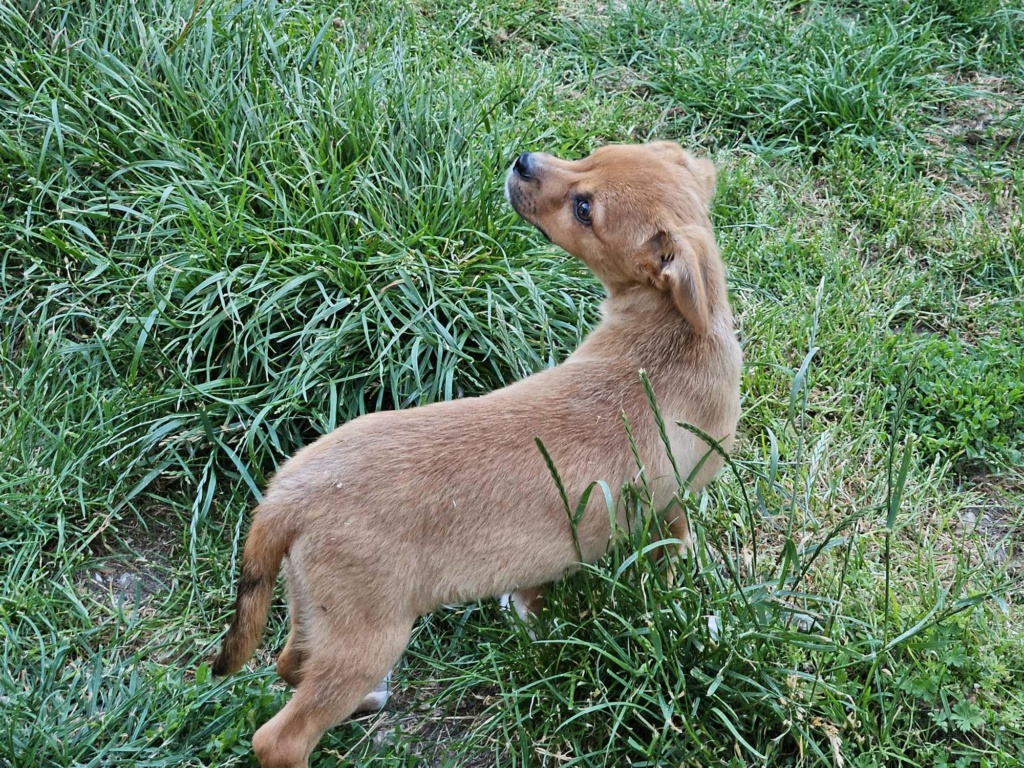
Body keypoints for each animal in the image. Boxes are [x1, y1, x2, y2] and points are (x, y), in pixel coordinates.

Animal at [216, 141, 741, 765]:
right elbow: (677, 547)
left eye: (585, 208)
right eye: (590, 158)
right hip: (368, 635)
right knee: (280, 738)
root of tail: (286, 497)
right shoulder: (677, 499)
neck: (670, 332)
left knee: (289, 665)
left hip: (315, 610)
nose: (522, 160)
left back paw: (366, 700)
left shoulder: (550, 549)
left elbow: (536, 593)